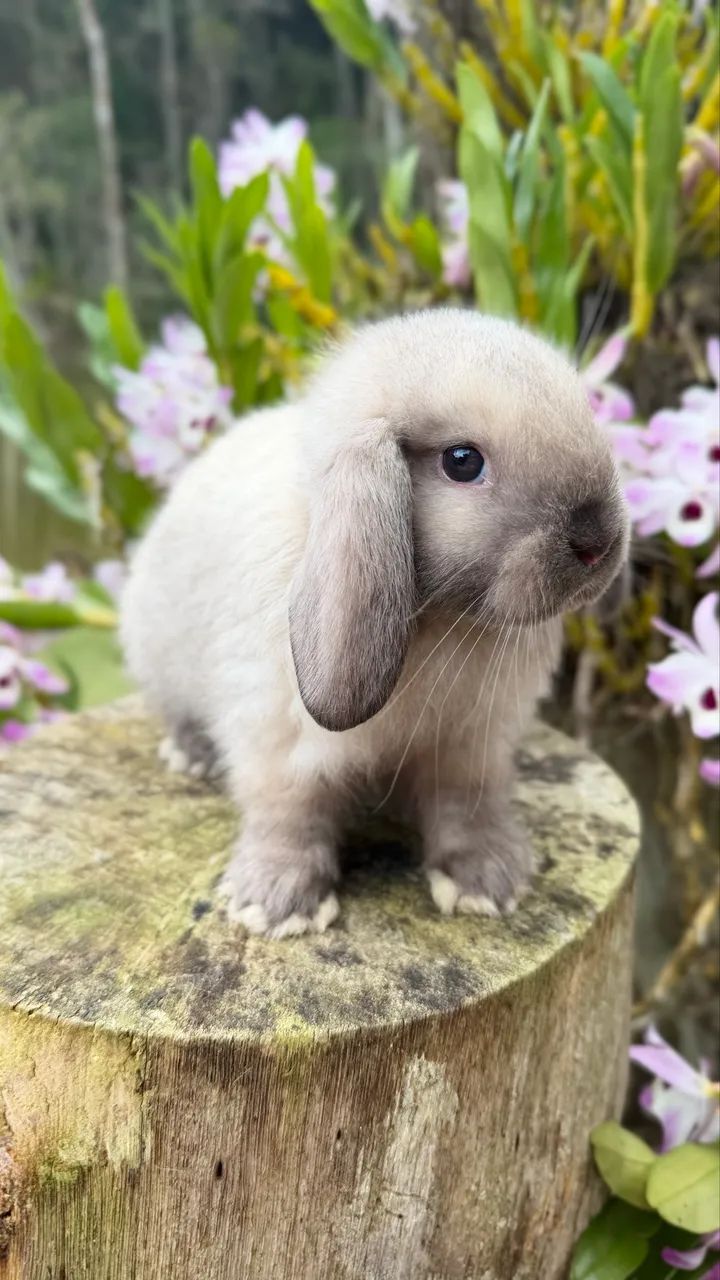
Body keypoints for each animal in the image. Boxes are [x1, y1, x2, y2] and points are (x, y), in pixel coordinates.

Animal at [121, 309, 630, 938]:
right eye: (462, 461)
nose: (598, 542)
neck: (443, 618)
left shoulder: (468, 749)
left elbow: (467, 807)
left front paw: (487, 883)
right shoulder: (278, 744)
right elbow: (287, 816)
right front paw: (277, 903)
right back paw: (192, 755)